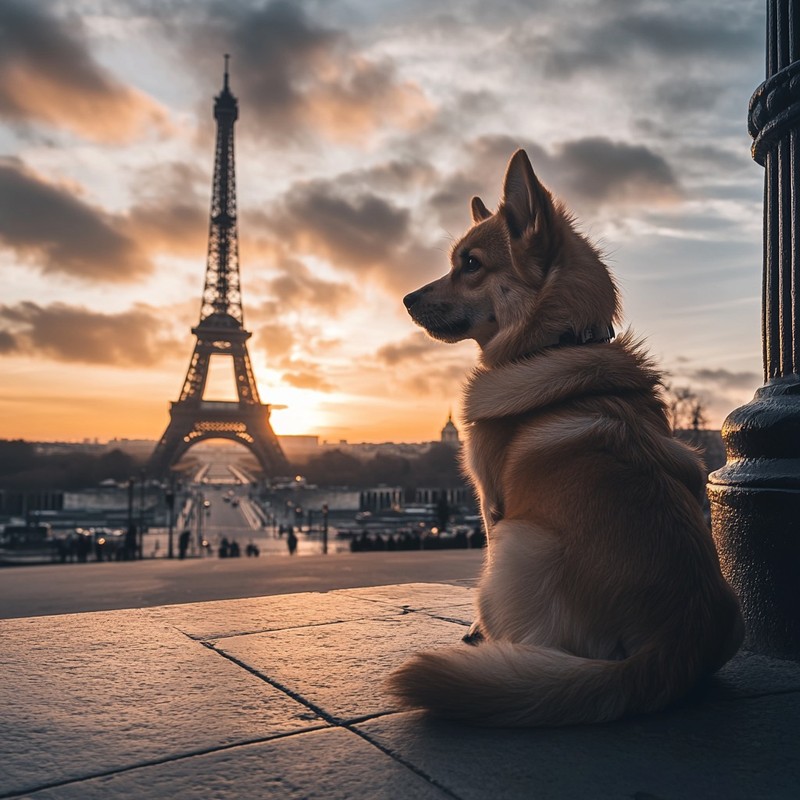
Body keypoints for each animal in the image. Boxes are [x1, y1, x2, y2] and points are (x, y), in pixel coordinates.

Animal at [388, 148, 744, 724]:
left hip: (517, 542)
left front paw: (475, 632)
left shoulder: (490, 504)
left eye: (471, 264)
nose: (405, 298)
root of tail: (671, 647)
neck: (556, 343)